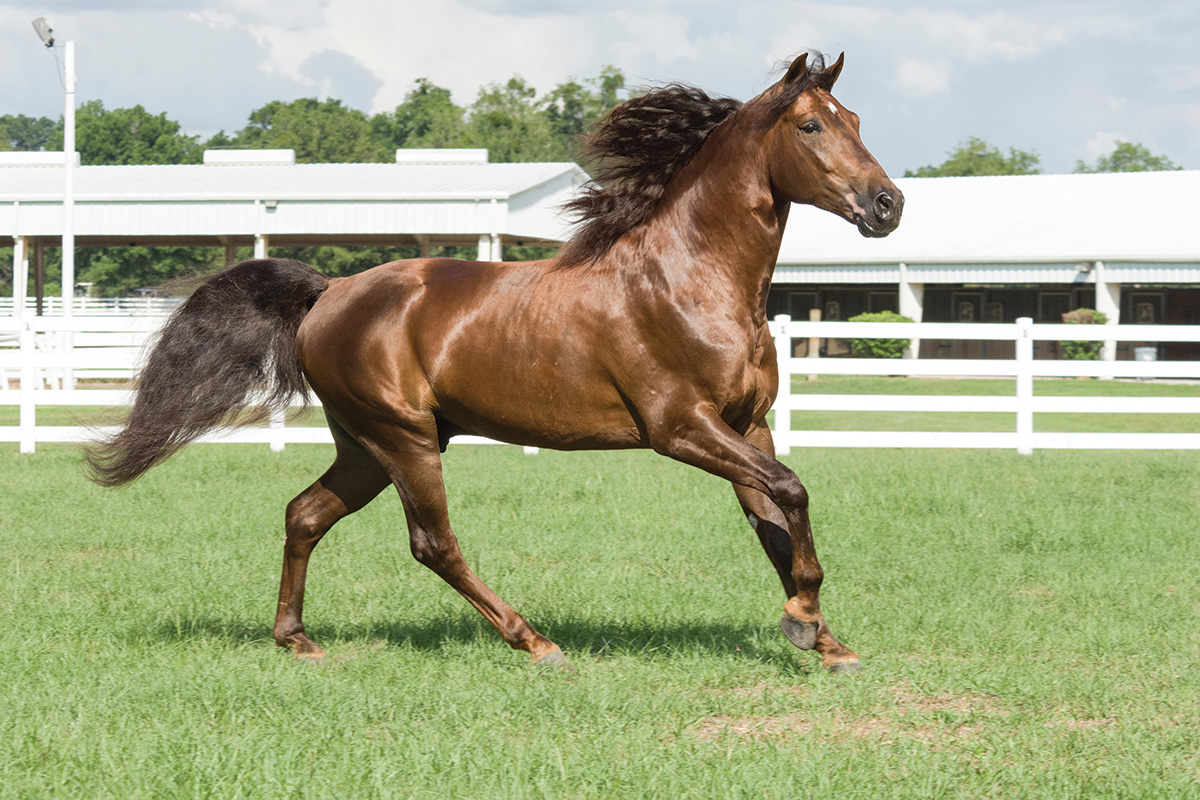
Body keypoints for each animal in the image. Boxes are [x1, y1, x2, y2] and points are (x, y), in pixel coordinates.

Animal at [87, 51, 902, 676]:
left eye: (859, 122)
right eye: (811, 124)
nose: (887, 205)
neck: (689, 280)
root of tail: (330, 291)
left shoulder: (747, 427)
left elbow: (776, 525)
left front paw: (822, 638)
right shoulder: (682, 428)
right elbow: (792, 493)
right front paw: (806, 620)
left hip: (368, 446)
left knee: (305, 514)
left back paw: (298, 641)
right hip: (404, 439)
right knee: (432, 544)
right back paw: (536, 643)